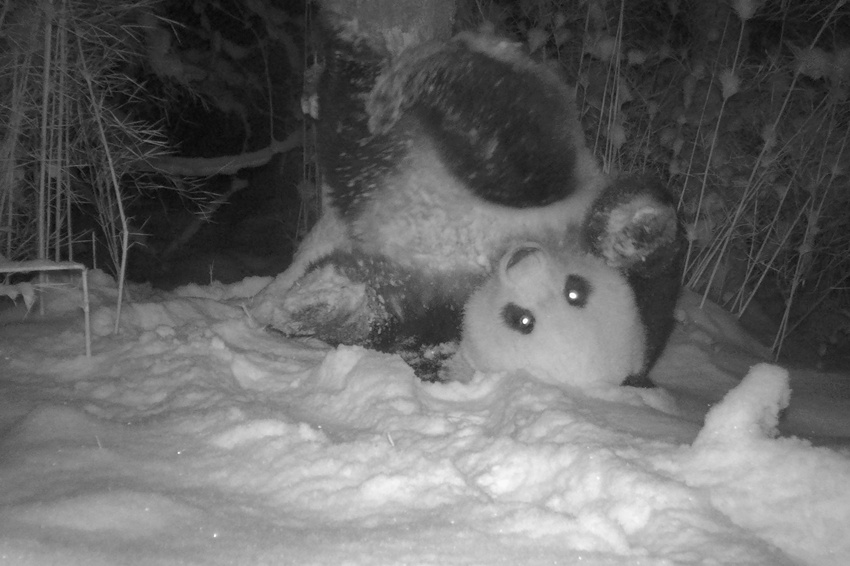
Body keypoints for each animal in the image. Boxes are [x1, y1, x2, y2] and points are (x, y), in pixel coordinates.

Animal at [250, 14, 684, 386]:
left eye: (521, 320)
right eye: (576, 290)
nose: (525, 260)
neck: (485, 262)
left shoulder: (432, 316)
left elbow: (374, 317)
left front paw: (313, 303)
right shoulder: (571, 208)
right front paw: (634, 231)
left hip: (382, 160)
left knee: (354, 116)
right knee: (513, 135)